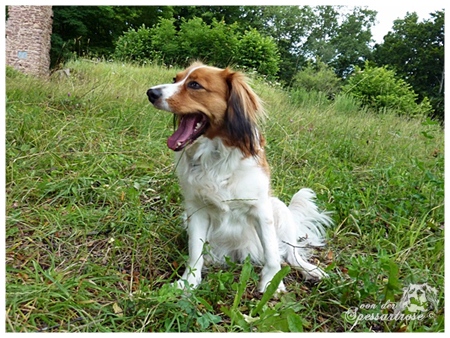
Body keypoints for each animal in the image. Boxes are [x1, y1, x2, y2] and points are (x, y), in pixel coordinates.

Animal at [147, 62, 330, 294]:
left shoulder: (261, 209)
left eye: (195, 85)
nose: (151, 93)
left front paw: (271, 282)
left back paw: (310, 270)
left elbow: (272, 254)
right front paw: (188, 282)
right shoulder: (196, 210)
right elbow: (195, 252)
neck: (216, 157)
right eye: (175, 79)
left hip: (280, 209)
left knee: (290, 253)